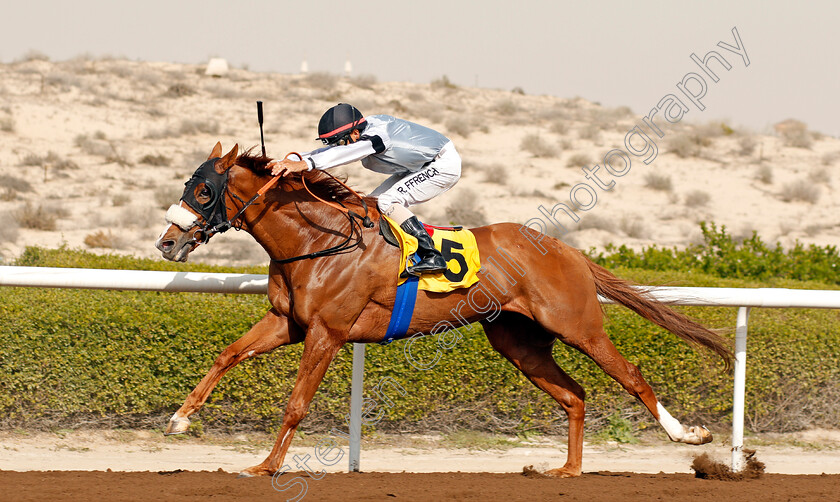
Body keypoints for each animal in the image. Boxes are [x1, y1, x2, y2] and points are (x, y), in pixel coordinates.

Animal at [156, 142, 728, 478]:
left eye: (204, 190)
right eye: (188, 185)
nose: (167, 243)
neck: (318, 241)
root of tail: (567, 250)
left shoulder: (327, 332)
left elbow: (296, 403)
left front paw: (266, 466)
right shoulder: (288, 323)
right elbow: (229, 354)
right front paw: (180, 418)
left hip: (578, 326)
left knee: (630, 374)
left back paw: (688, 435)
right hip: (517, 341)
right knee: (574, 395)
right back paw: (566, 470)